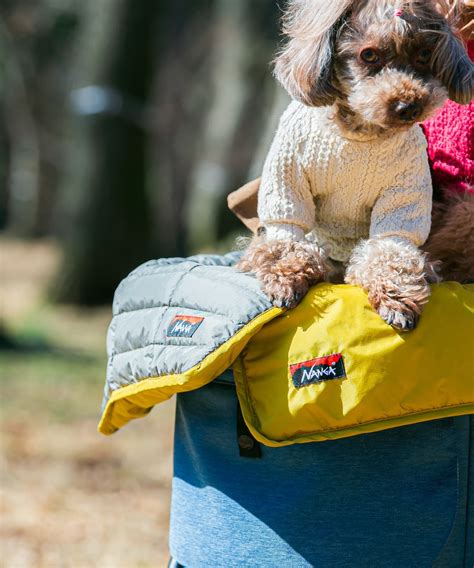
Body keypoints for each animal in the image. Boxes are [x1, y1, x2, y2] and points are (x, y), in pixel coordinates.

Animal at [239, 0, 472, 330]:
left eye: (424, 54)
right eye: (369, 55)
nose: (409, 106)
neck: (360, 131)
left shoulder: (404, 191)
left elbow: (391, 248)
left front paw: (396, 299)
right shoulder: (288, 174)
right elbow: (286, 235)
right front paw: (285, 278)